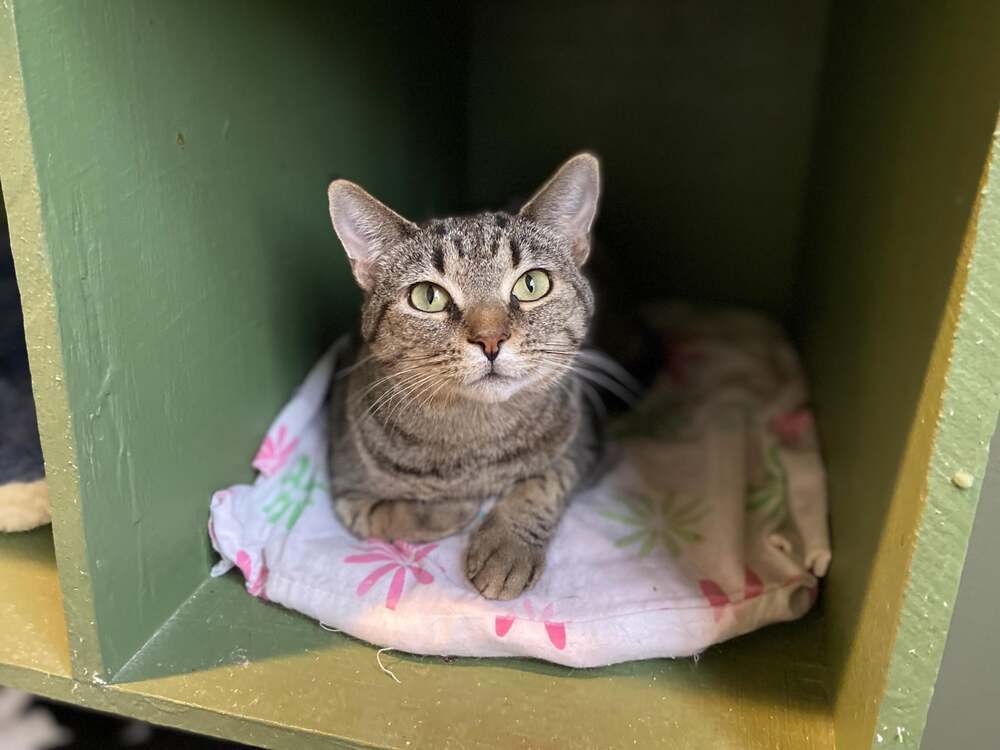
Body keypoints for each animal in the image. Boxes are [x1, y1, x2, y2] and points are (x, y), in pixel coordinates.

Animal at [328, 156, 600, 604]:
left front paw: (506, 548)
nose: (490, 339)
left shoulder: (587, 441)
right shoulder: (344, 483)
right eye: (428, 296)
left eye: (532, 284)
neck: (477, 446)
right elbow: (381, 514)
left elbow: (544, 481)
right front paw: (451, 508)